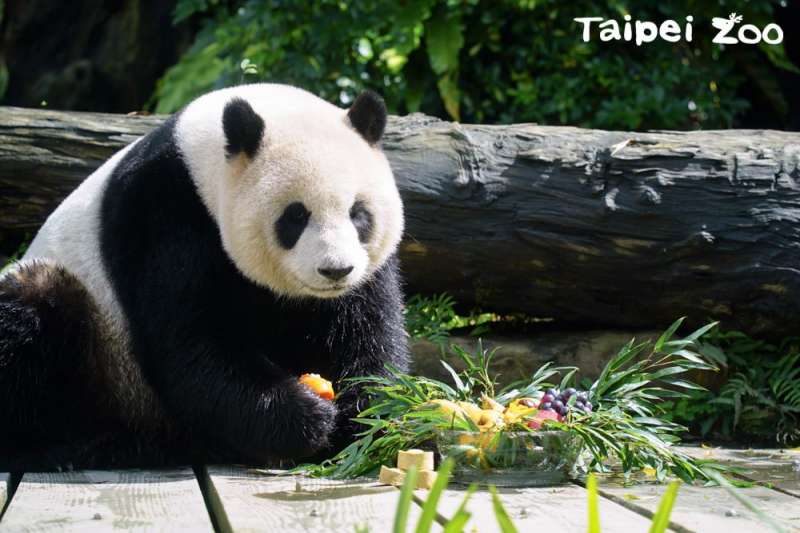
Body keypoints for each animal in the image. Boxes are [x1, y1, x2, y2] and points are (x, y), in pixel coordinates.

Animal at [0, 81, 410, 468]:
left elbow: (366, 328)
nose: (335, 270)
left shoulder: (365, 272)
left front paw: (364, 416)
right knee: (31, 316)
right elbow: (193, 345)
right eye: (295, 216)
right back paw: (66, 448)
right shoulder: (165, 216)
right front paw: (309, 417)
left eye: (358, 213)